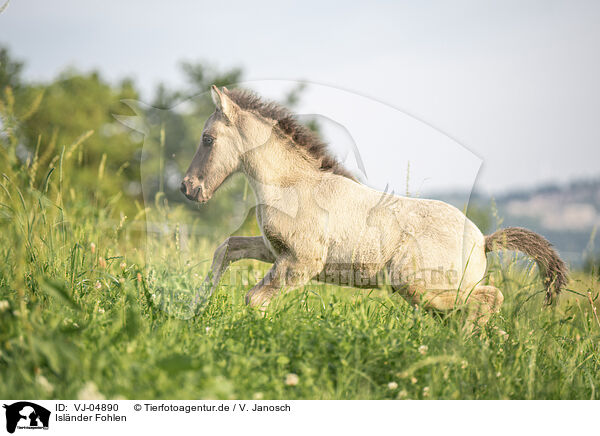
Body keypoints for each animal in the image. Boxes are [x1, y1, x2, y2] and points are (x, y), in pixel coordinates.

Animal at [179, 85, 568, 326]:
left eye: (207, 139)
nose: (188, 187)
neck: (295, 186)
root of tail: (482, 240)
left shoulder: (301, 263)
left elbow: (254, 298)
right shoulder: (274, 250)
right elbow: (226, 249)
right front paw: (197, 306)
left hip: (418, 288)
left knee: (488, 299)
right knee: (477, 309)